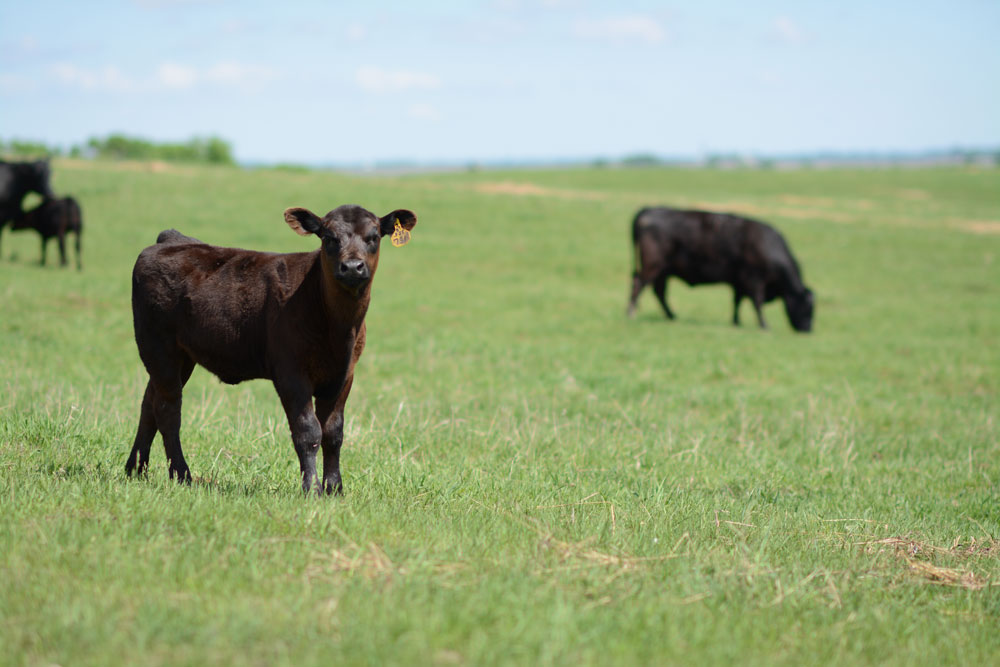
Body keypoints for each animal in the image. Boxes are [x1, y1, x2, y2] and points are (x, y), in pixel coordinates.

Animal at [126, 205, 418, 496]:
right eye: (328, 238)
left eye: (374, 237)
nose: (352, 267)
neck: (338, 328)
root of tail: (171, 239)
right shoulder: (290, 372)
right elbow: (308, 431)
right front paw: (311, 489)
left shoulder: (344, 375)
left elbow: (333, 433)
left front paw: (335, 488)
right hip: (158, 346)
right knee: (168, 409)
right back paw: (181, 474)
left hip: (182, 356)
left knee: (149, 402)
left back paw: (135, 469)